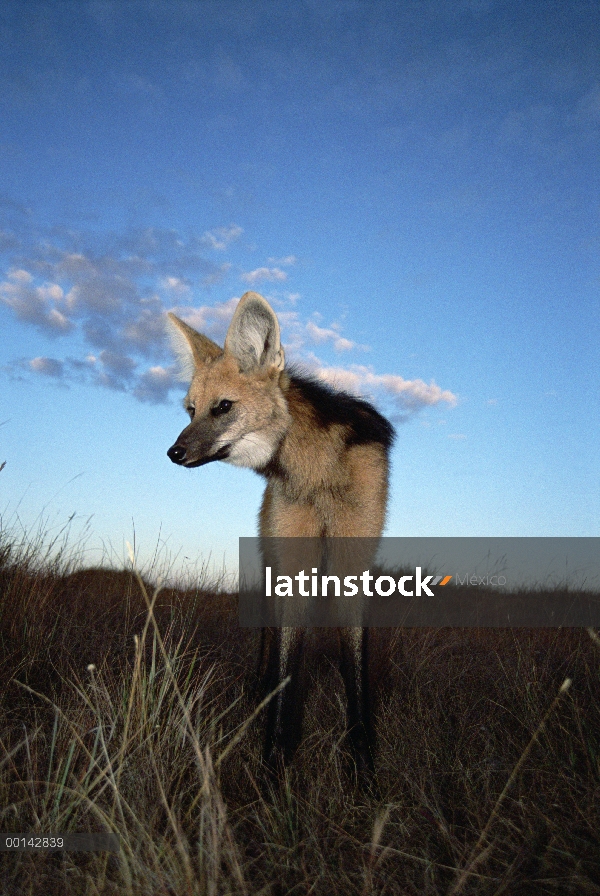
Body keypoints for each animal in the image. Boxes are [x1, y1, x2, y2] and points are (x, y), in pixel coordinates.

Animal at [166, 290, 396, 780]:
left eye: (223, 406)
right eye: (191, 410)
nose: (174, 452)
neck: (316, 474)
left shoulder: (354, 557)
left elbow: (355, 667)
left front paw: (363, 768)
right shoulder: (294, 559)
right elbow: (290, 662)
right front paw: (273, 767)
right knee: (270, 636)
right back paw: (260, 692)